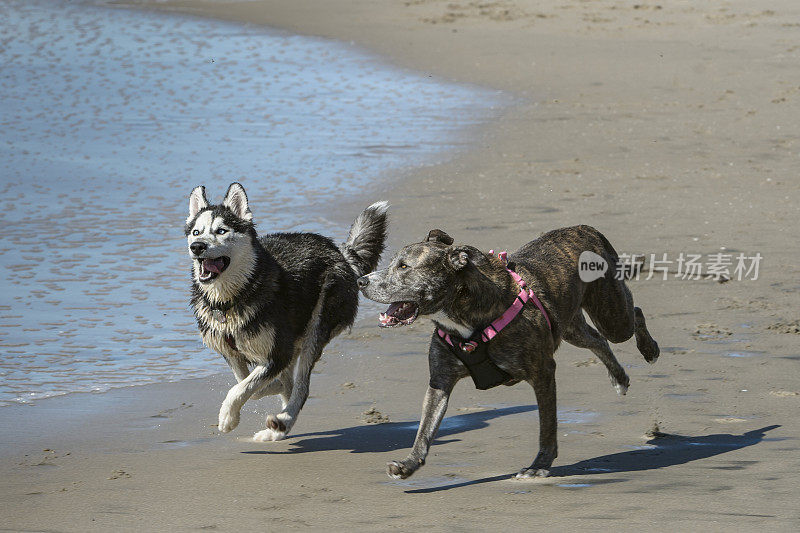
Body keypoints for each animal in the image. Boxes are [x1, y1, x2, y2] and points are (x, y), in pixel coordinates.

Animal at [188, 183, 388, 440]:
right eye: (196, 232)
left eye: (221, 231)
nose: (197, 247)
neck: (233, 299)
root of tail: (339, 251)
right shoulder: (232, 352)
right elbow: (248, 385)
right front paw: (268, 389)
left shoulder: (278, 352)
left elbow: (243, 387)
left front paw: (228, 418)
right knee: (290, 385)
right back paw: (277, 429)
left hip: (315, 329)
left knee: (302, 388)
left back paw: (284, 420)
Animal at [360, 224, 660, 478]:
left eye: (404, 267)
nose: (361, 281)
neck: (464, 317)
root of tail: (586, 228)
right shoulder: (440, 381)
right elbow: (425, 429)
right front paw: (409, 464)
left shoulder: (542, 372)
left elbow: (547, 425)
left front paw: (539, 465)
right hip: (570, 326)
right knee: (597, 340)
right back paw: (619, 378)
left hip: (612, 312)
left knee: (633, 314)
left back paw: (650, 349)